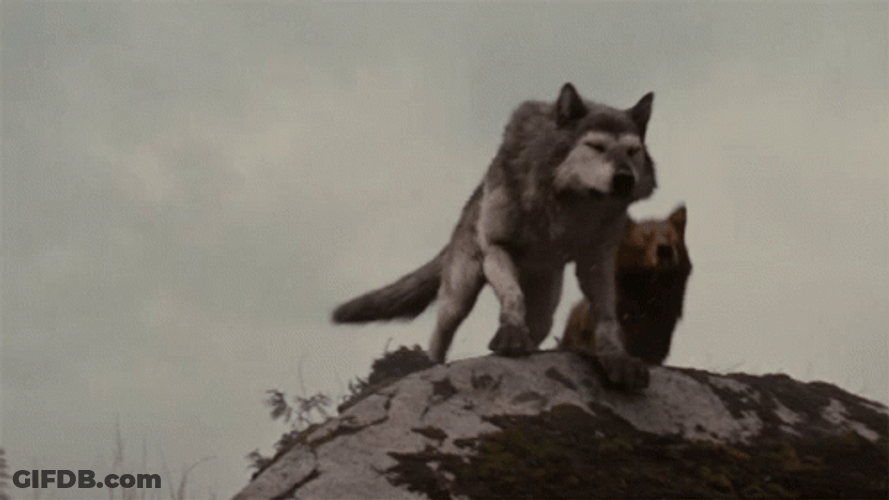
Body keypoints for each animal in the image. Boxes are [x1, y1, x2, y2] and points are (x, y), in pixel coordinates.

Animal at [332, 83, 658, 390]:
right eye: (596, 146)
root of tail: (475, 198)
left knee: (536, 327)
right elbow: (512, 295)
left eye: (632, 151)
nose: (624, 179)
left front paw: (618, 359)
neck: (573, 204)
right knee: (439, 335)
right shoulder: (497, 248)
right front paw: (511, 335)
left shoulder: (595, 262)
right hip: (458, 294)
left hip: (545, 310)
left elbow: (606, 317)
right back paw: (429, 365)